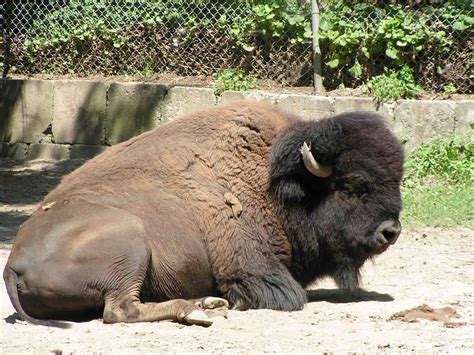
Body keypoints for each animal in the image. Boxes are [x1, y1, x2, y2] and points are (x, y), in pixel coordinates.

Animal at [3, 101, 404, 328]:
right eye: (349, 186)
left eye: (395, 180)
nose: (391, 231)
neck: (275, 183)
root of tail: (14, 262)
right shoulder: (253, 269)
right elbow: (289, 297)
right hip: (130, 242)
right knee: (119, 310)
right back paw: (199, 310)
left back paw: (208, 303)